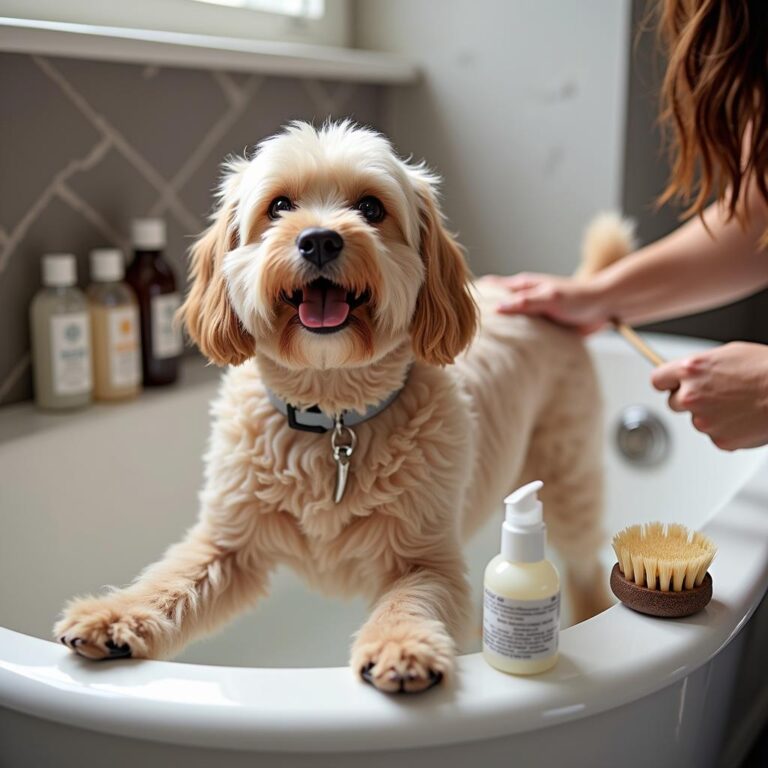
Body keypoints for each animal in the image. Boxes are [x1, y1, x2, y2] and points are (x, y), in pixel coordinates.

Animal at [54, 121, 608, 696]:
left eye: (371, 207)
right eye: (279, 205)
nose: (320, 238)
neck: (333, 416)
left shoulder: (427, 561)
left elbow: (410, 604)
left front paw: (400, 647)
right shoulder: (226, 546)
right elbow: (168, 585)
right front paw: (114, 616)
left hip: (567, 481)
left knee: (587, 569)